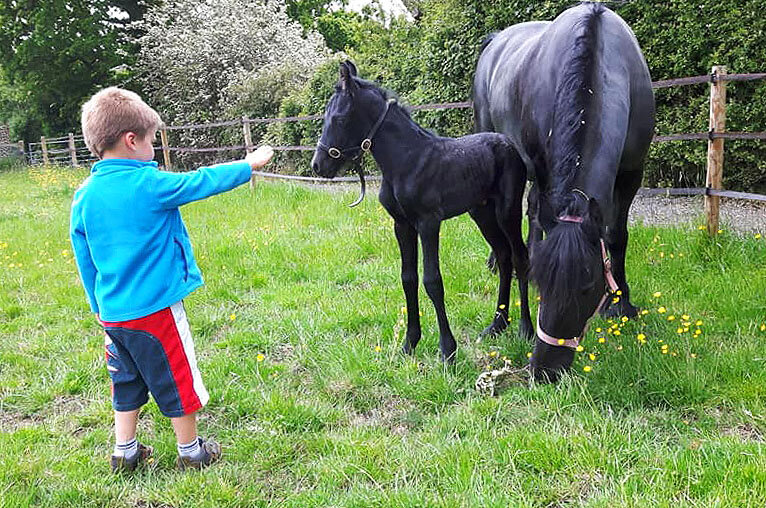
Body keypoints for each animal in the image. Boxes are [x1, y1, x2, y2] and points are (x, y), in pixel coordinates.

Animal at [312, 61, 536, 364]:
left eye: (339, 119)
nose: (318, 165)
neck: (407, 160)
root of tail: (508, 143)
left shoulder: (429, 223)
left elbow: (432, 281)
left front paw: (447, 351)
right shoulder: (402, 224)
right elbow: (408, 278)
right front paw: (410, 343)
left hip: (507, 211)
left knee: (520, 257)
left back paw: (525, 329)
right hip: (482, 214)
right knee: (503, 257)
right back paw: (497, 325)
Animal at [474, 1, 660, 380]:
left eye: (589, 287)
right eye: (546, 286)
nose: (545, 368)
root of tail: (495, 41)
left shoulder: (631, 174)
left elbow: (616, 236)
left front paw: (622, 304)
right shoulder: (546, 170)